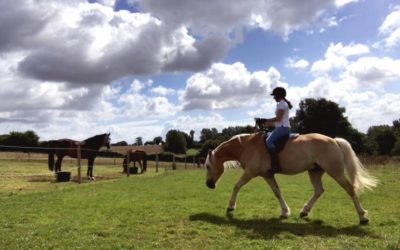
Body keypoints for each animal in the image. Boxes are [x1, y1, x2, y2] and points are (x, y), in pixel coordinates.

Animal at [206, 133, 378, 225]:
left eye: (207, 166)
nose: (208, 185)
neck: (247, 145)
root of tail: (334, 140)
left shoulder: (250, 172)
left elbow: (236, 186)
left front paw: (230, 207)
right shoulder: (267, 175)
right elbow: (277, 192)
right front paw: (285, 212)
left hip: (335, 172)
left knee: (350, 189)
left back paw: (362, 217)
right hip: (315, 172)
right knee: (319, 190)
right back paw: (304, 211)